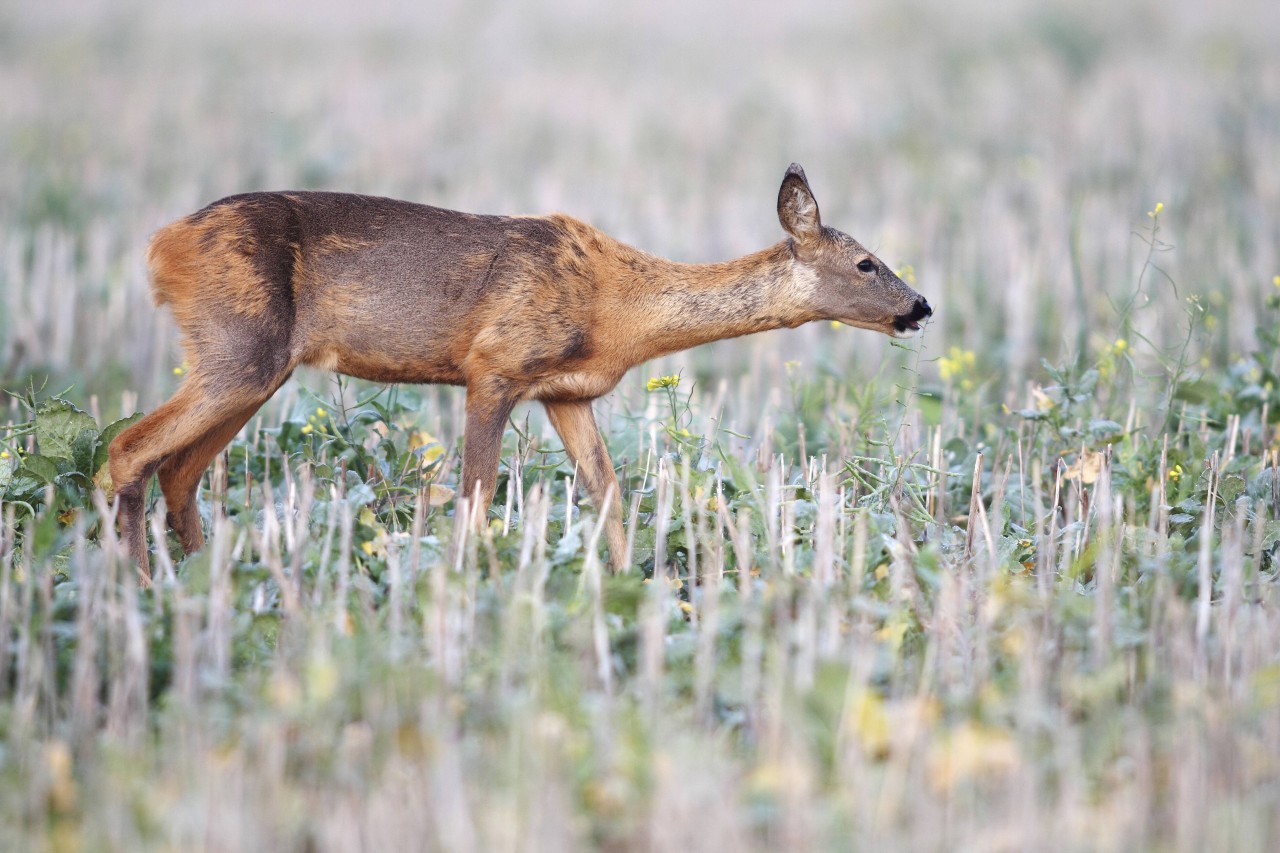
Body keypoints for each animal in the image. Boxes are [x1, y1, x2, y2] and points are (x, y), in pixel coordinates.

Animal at [110, 162, 931, 578]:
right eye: (866, 261)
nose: (921, 305)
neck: (617, 308)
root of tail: (159, 247)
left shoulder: (567, 395)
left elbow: (609, 496)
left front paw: (631, 592)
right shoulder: (493, 365)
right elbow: (473, 497)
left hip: (257, 366)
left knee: (176, 470)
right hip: (239, 346)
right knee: (128, 450)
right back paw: (141, 588)